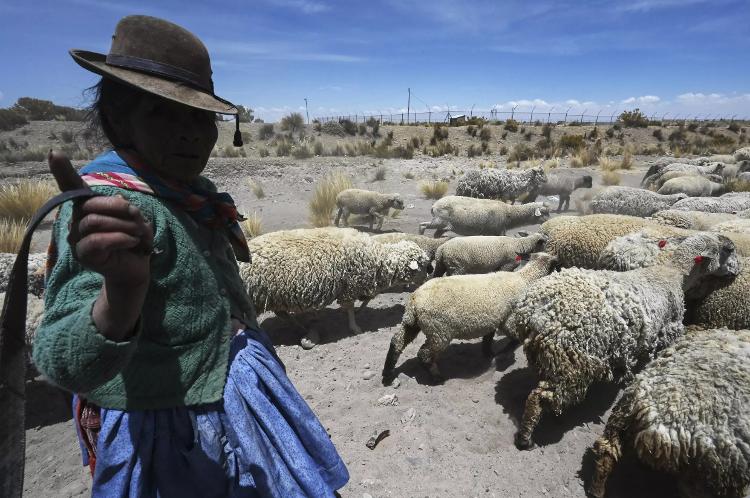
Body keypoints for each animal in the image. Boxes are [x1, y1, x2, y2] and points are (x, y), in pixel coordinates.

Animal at [239, 227, 428, 334]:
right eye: (423, 265)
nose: (427, 279)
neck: (378, 257)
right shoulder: (351, 285)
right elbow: (351, 307)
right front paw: (354, 327)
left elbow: (365, 300)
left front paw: (358, 311)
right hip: (257, 296)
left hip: (272, 295)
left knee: (281, 313)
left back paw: (301, 326)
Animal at [382, 253, 560, 386]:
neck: (524, 279)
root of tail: (414, 301)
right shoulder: (508, 318)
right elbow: (515, 338)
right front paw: (504, 353)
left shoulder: (494, 319)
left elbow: (488, 338)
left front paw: (489, 353)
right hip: (439, 331)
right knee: (424, 354)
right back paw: (437, 377)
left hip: (412, 323)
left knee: (396, 342)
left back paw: (387, 375)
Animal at [420, 196, 548, 238]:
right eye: (544, 212)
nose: (548, 221)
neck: (509, 213)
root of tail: (434, 205)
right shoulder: (497, 231)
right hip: (439, 221)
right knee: (422, 225)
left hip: (443, 225)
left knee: (436, 234)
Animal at [508, 231, 744, 450]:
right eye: (728, 250)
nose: (738, 269)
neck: (674, 274)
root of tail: (533, 310)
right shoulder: (669, 329)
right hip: (571, 361)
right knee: (540, 396)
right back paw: (526, 438)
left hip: (547, 354)